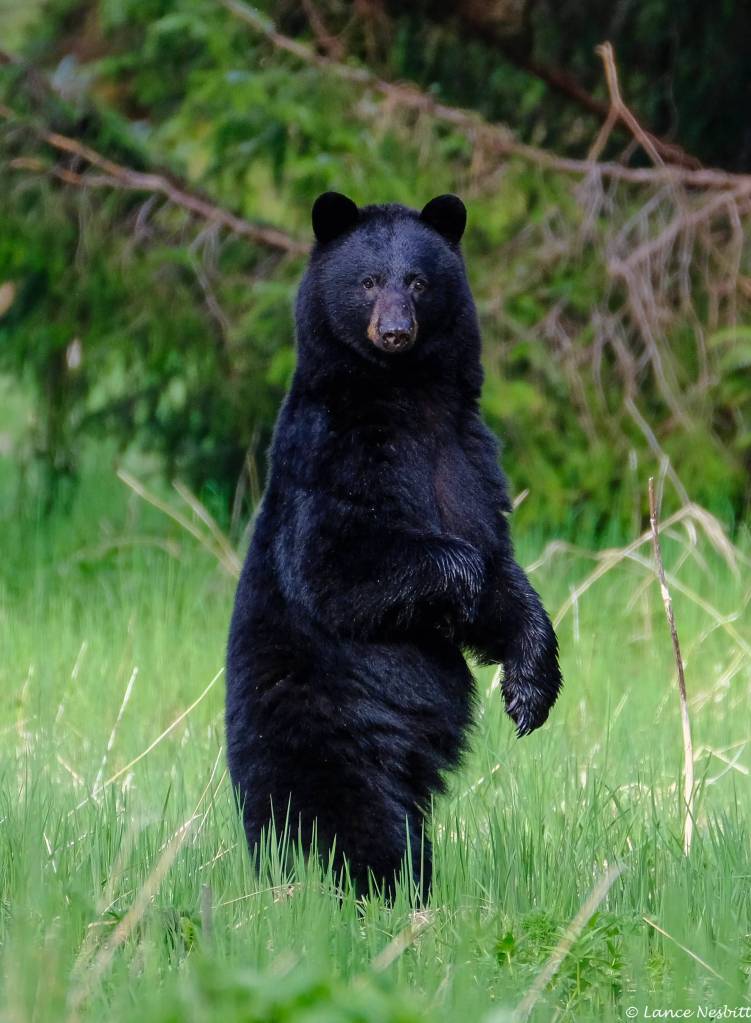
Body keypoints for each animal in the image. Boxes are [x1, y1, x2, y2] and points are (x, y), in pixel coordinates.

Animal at [226, 192, 562, 899]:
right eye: (367, 281)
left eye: (418, 281)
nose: (395, 332)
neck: (410, 399)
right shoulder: (332, 455)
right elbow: (338, 565)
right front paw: (460, 590)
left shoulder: (469, 460)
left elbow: (502, 564)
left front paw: (529, 690)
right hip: (332, 746)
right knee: (357, 829)